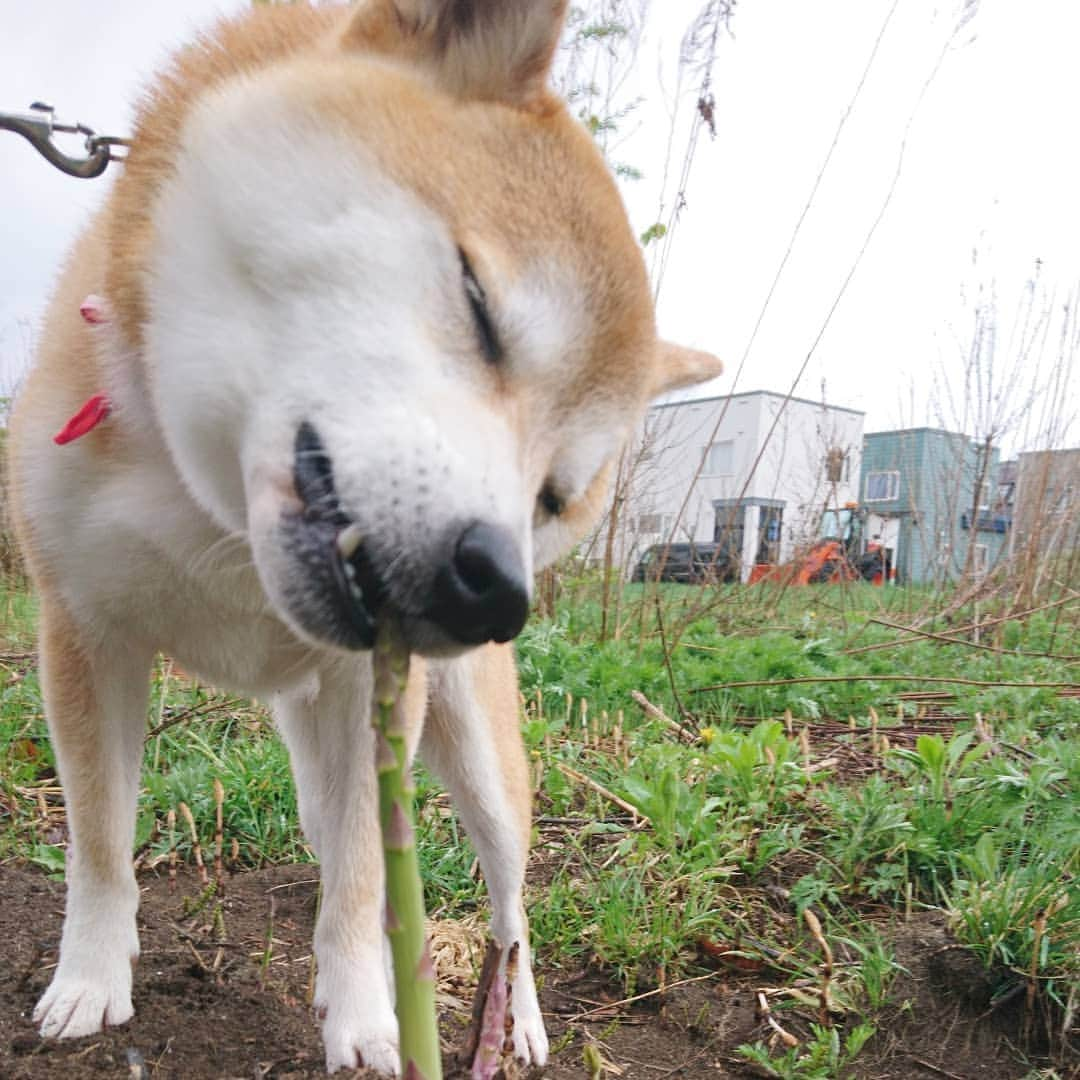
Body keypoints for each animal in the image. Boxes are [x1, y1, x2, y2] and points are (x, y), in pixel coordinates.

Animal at [8, 0, 721, 1071]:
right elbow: (99, 842)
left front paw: (368, 1026)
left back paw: (517, 1019)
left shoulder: (370, 694)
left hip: (475, 755)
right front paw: (91, 981)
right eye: (478, 306)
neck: (214, 515)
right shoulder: (86, 634)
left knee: (509, 902)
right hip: (312, 754)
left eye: (551, 497)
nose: (492, 588)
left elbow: (355, 884)